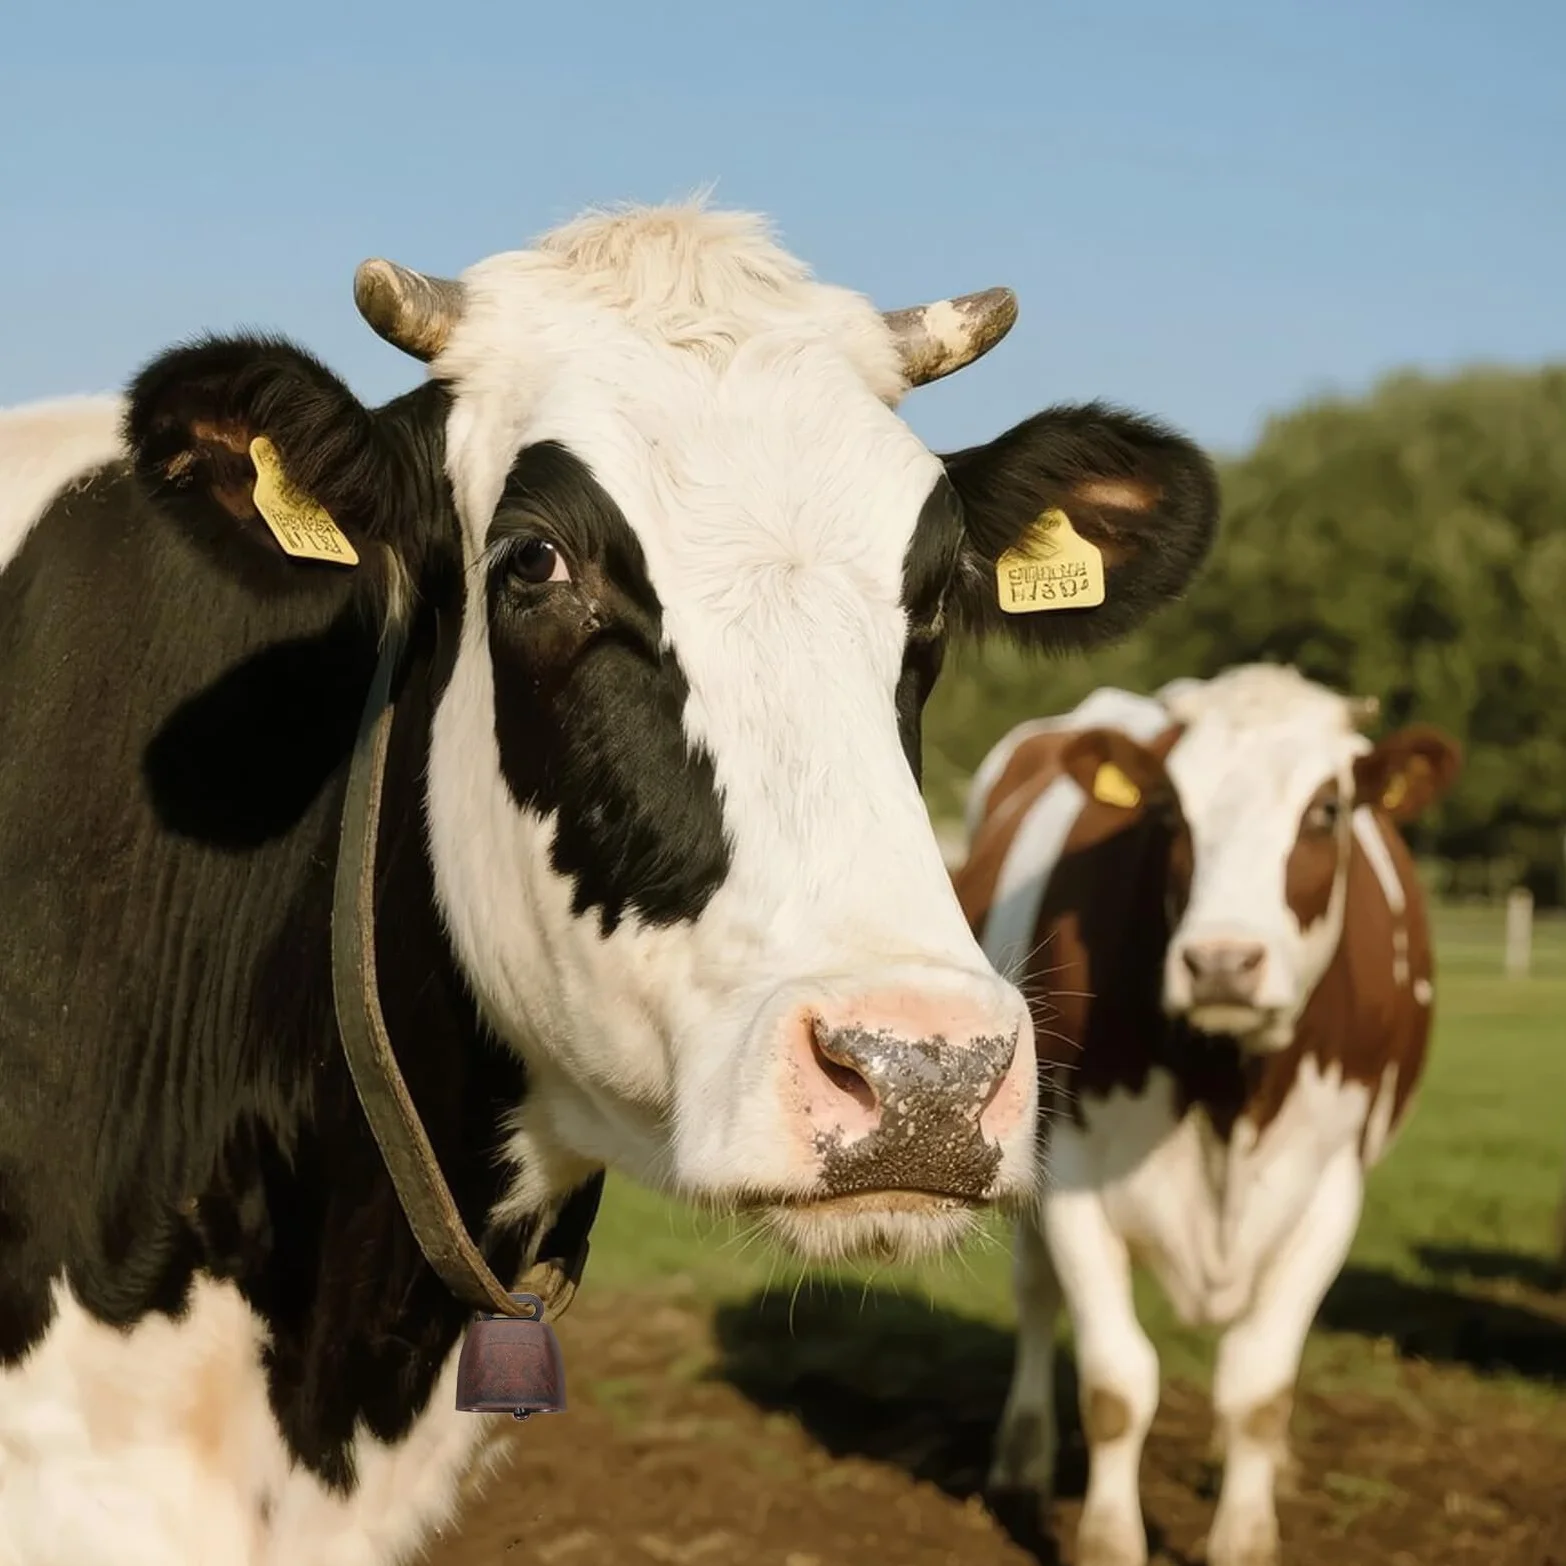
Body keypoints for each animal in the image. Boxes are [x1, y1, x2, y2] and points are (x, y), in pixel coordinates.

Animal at [962, 665, 1461, 1566]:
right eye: (1168, 810)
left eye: (1326, 809)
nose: (1223, 962)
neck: (1228, 1089)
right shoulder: (1073, 1177)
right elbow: (1117, 1384)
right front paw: (1107, 1540)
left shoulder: (1329, 1194)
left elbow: (1258, 1389)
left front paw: (1245, 1533)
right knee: (1035, 1293)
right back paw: (1020, 1460)